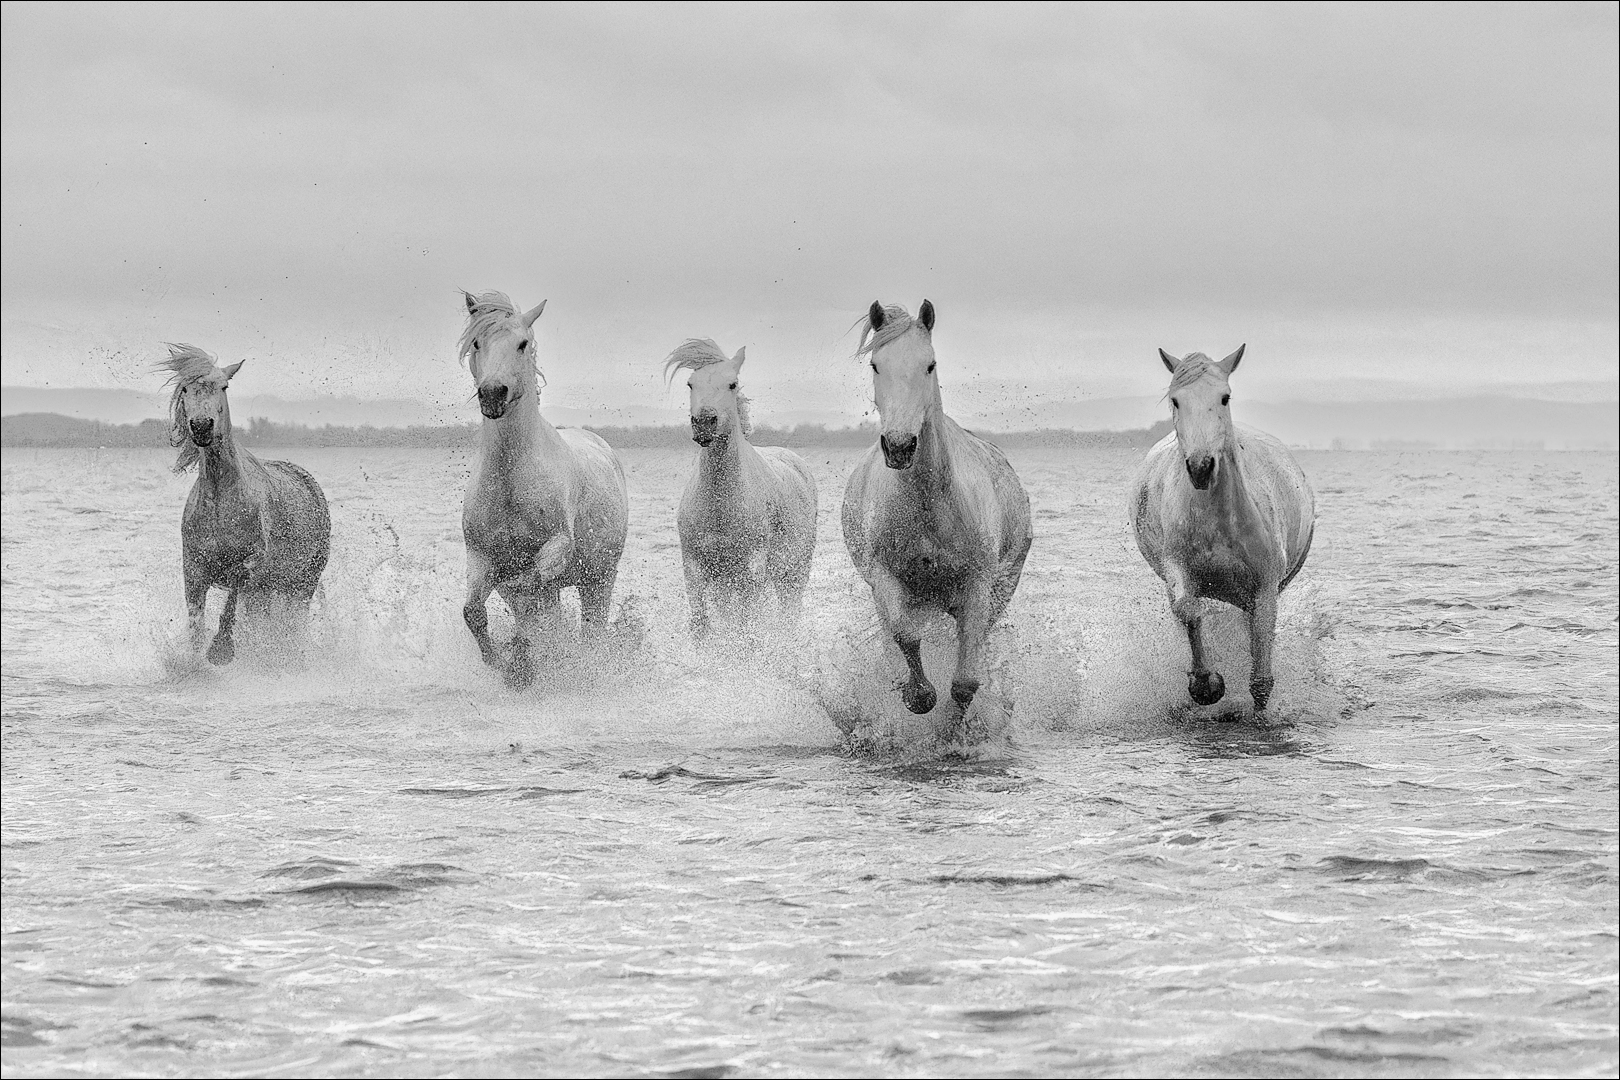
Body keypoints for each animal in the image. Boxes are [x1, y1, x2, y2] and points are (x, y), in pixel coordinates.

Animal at [161, 346, 332, 667]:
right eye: (185, 389)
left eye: (224, 387)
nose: (201, 427)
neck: (221, 501)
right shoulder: (193, 569)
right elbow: (195, 625)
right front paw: (195, 661)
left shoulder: (250, 565)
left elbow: (232, 599)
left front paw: (220, 650)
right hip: (270, 589)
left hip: (302, 583)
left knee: (294, 623)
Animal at [463, 291, 631, 689]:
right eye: (476, 342)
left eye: (522, 344)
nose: (492, 394)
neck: (510, 480)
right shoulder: (479, 556)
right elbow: (474, 611)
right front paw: (502, 663)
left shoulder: (557, 546)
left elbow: (527, 589)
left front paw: (519, 659)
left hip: (599, 578)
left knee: (591, 626)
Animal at [664, 341, 816, 637]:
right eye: (690, 383)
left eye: (732, 384)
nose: (704, 423)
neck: (720, 504)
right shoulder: (697, 569)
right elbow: (703, 624)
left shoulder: (751, 570)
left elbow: (748, 626)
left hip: (794, 572)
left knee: (789, 613)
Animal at [842, 299, 1030, 731]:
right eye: (876, 364)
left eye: (929, 365)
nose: (899, 447)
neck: (929, 507)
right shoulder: (886, 578)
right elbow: (905, 636)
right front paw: (917, 696)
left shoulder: (978, 587)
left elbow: (965, 681)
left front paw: (951, 729)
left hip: (999, 590)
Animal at [1134, 346, 1308, 712]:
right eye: (1176, 400)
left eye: (1224, 397)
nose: (1201, 467)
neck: (1219, 522)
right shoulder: (1178, 569)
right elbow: (1189, 610)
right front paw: (1206, 684)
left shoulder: (1266, 589)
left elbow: (1261, 681)